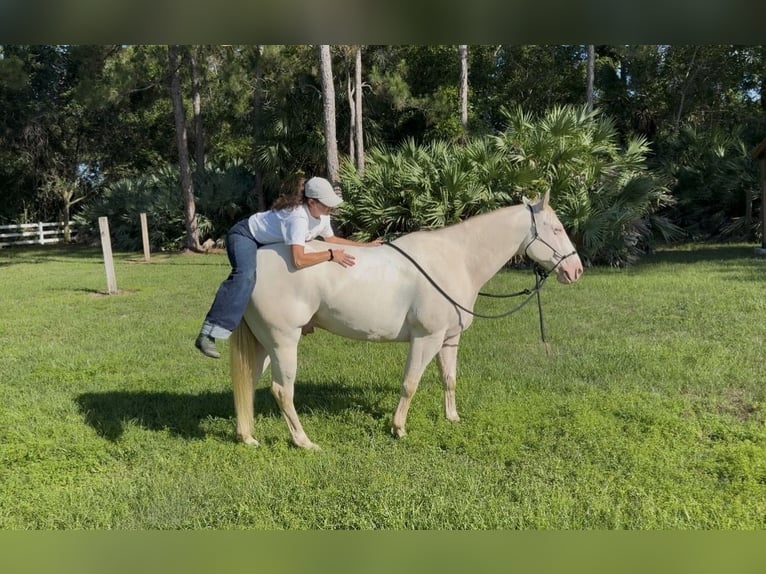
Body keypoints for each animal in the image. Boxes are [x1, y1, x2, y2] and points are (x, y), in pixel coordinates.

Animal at [229, 191, 583, 449]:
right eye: (556, 229)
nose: (575, 269)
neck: (455, 259)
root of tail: (256, 261)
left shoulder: (449, 339)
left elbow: (449, 379)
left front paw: (452, 417)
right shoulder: (426, 338)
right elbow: (410, 383)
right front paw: (398, 428)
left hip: (265, 344)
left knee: (249, 382)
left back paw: (248, 436)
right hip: (284, 342)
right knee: (282, 390)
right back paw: (303, 441)